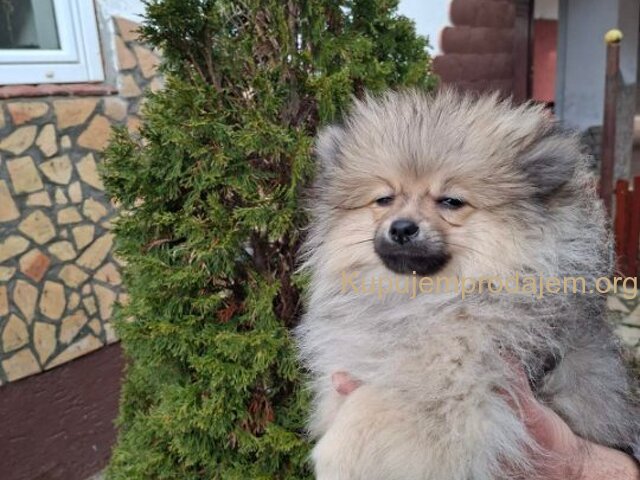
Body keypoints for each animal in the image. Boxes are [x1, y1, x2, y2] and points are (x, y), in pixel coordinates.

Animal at [295, 90, 640, 479]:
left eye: (451, 201)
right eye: (384, 199)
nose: (401, 227)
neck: (425, 299)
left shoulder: (455, 384)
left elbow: (370, 403)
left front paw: (334, 455)